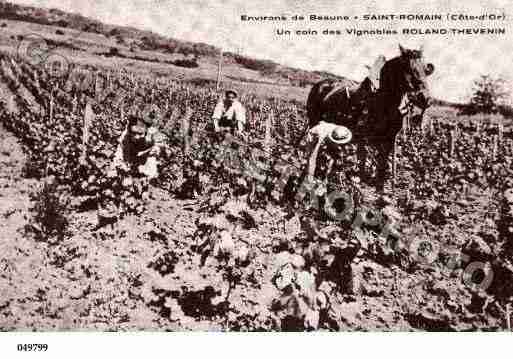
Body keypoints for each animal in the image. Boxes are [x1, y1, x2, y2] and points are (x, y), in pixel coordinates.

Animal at [306, 45, 434, 193]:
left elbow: (382, 164)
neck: (383, 103)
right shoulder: (363, 139)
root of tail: (321, 84)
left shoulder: (388, 140)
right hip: (314, 121)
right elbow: (362, 162)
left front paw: (381, 189)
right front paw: (358, 186)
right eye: (408, 68)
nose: (426, 99)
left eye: (426, 69)